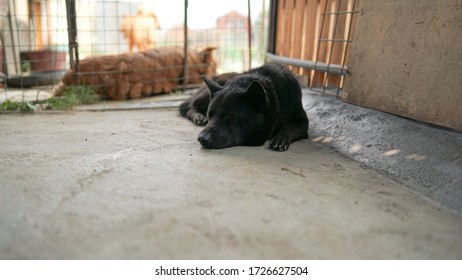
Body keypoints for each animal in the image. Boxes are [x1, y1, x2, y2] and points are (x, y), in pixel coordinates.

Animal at [179, 62, 308, 152]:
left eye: (229, 116)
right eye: (209, 115)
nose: (201, 139)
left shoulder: (303, 121)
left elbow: (290, 127)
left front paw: (280, 138)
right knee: (190, 107)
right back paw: (199, 117)